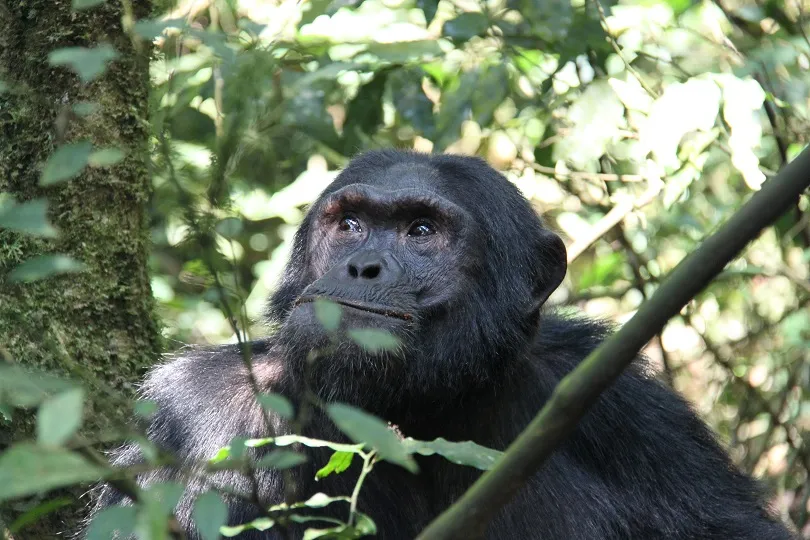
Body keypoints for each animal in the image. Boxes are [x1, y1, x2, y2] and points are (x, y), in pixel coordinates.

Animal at [85, 151, 792, 540]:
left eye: (421, 231)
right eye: (351, 223)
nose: (363, 265)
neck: (419, 407)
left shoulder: (629, 412)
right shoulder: (193, 421)